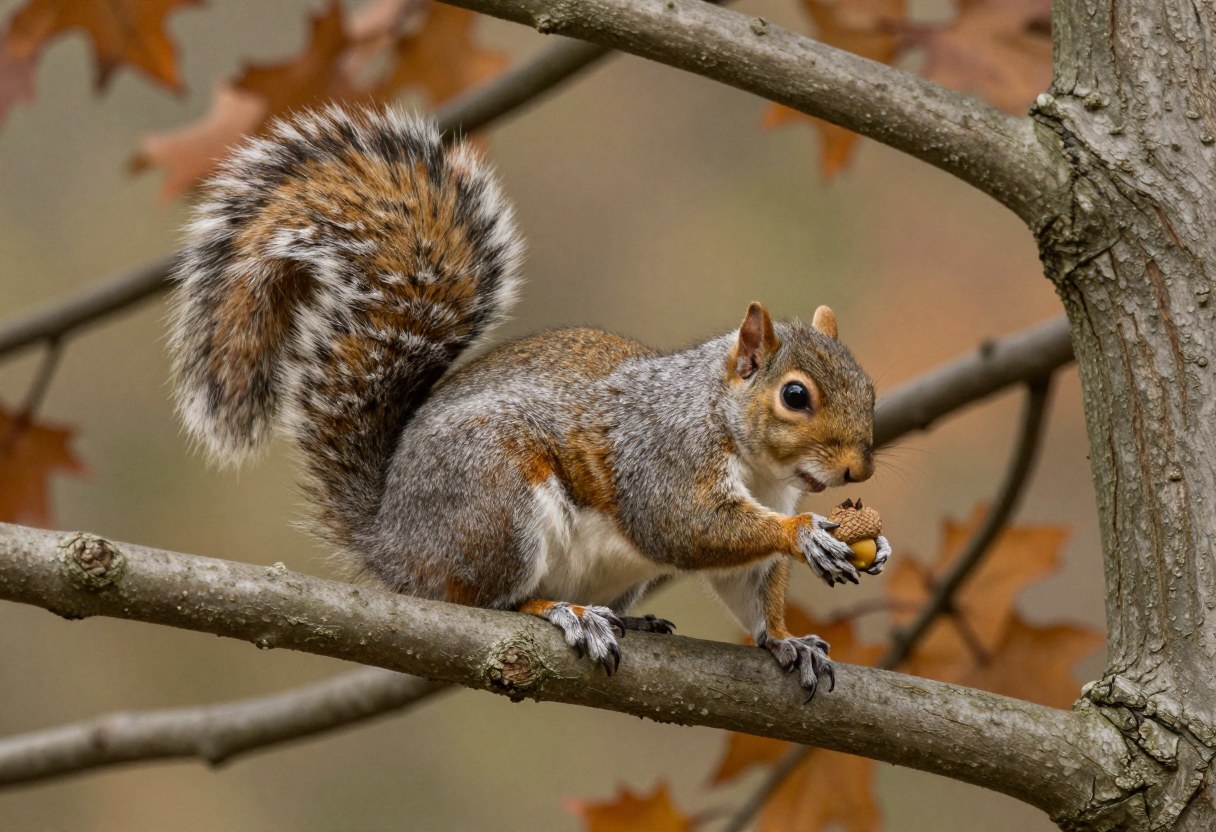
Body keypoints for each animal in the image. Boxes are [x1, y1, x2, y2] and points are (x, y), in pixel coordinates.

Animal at [169, 106, 890, 699]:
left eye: (870, 386)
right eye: (795, 395)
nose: (859, 469)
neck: (746, 447)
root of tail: (394, 543)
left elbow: (755, 592)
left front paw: (790, 640)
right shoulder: (664, 455)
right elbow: (684, 526)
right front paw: (807, 535)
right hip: (496, 504)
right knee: (488, 604)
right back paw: (564, 614)